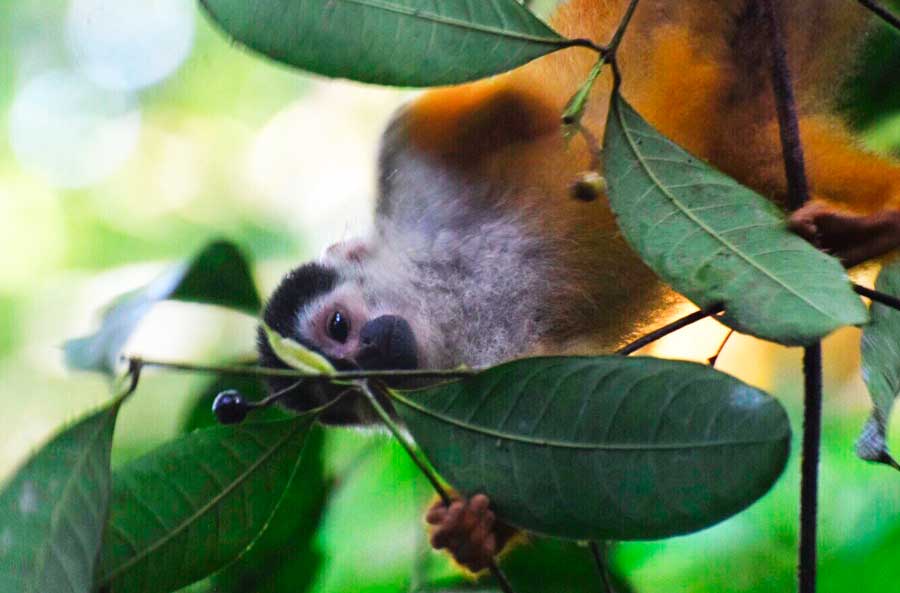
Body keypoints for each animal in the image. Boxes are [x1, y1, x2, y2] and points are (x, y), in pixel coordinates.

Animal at [257, 0, 900, 574]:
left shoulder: (419, 199)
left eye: (339, 327)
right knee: (755, 147)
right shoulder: (497, 373)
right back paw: (868, 230)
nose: (366, 357)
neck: (448, 307)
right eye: (345, 395)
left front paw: (566, 92)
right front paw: (473, 530)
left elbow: (437, 117)